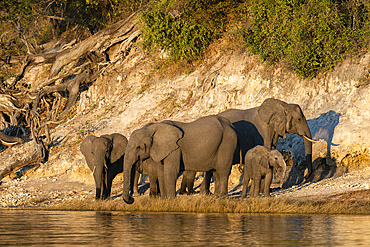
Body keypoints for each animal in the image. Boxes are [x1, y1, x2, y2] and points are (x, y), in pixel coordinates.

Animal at [182, 97, 316, 194]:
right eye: (299, 119)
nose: (306, 176)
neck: (283, 104)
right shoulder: (262, 131)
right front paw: (262, 191)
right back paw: (206, 194)